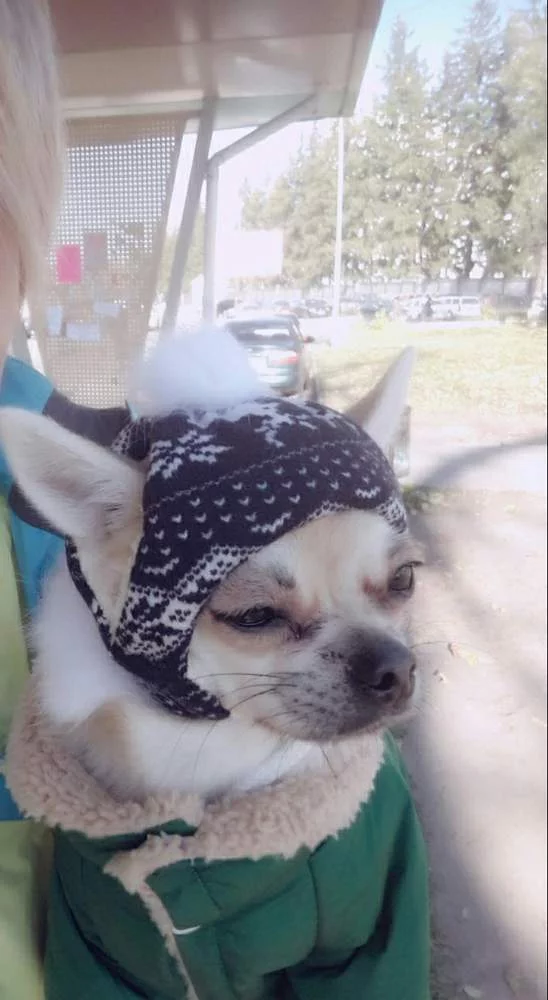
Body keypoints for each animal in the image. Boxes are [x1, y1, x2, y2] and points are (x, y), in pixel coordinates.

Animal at [0, 331, 429, 1000]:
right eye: (255, 616)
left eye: (404, 580)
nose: (396, 667)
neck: (209, 758)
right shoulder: (102, 946)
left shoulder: (363, 932)